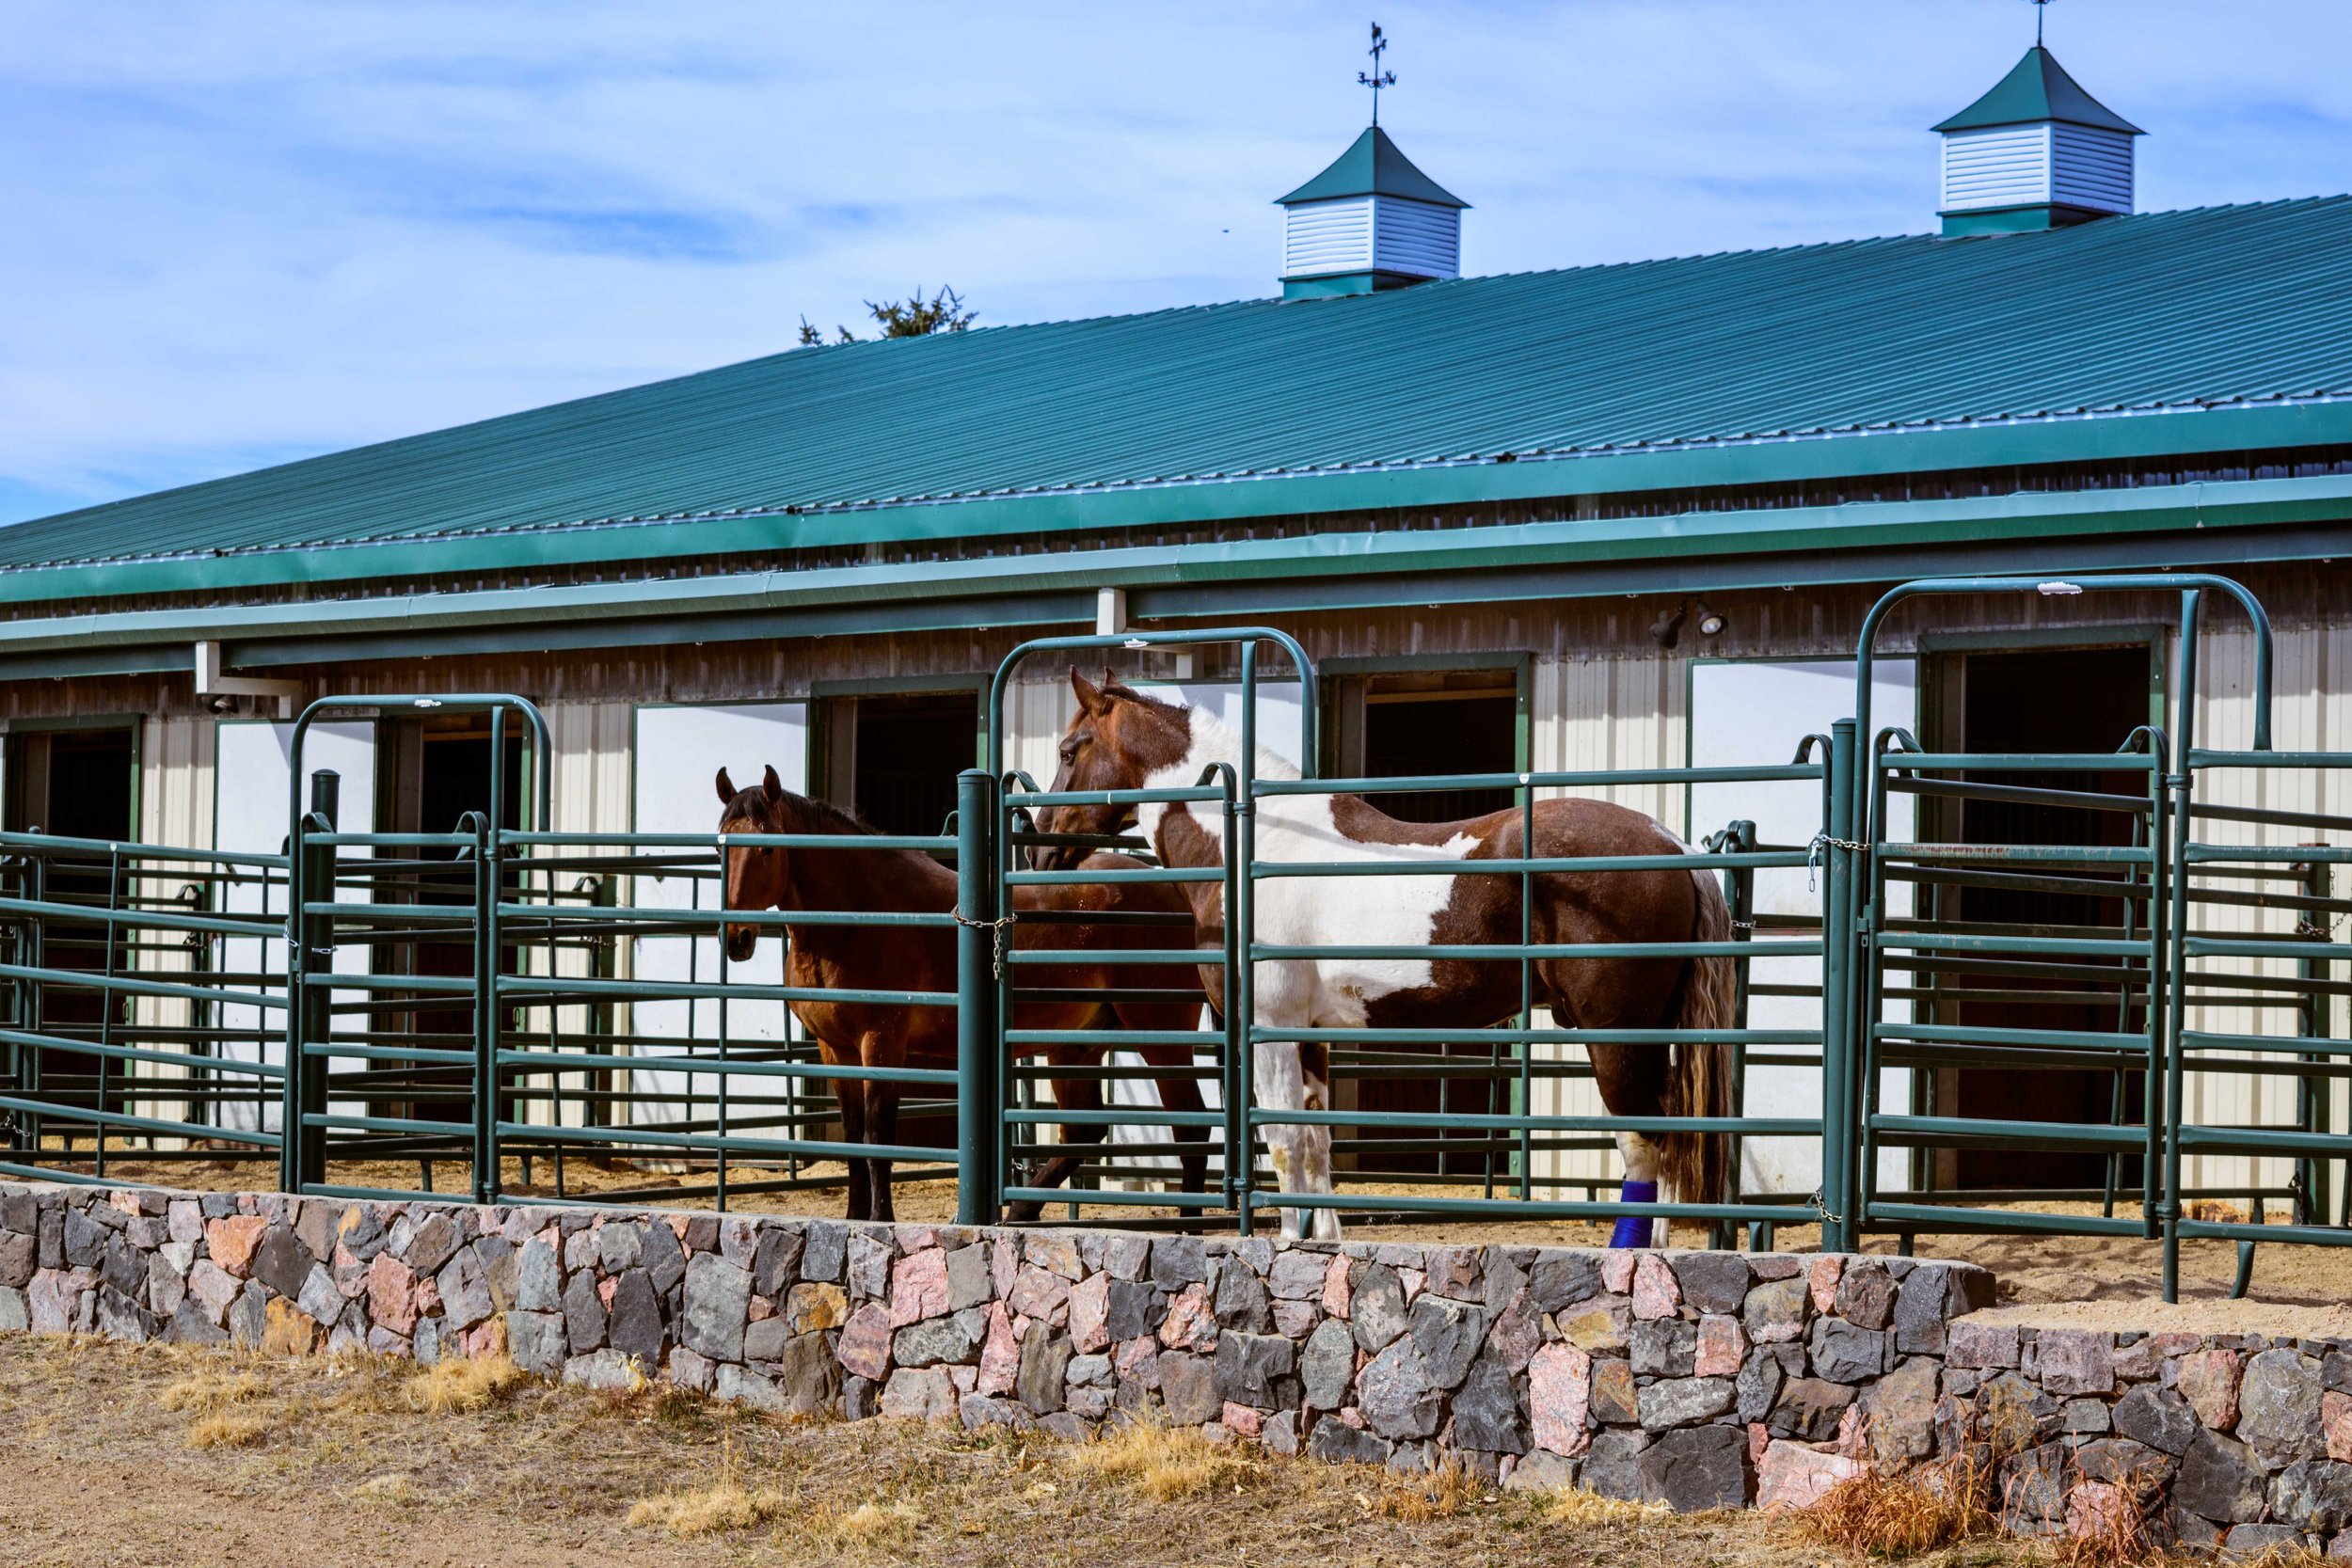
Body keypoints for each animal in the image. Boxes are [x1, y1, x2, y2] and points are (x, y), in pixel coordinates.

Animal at [710, 770, 1214, 1222]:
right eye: (720, 848)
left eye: (766, 848)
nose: (736, 939)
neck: (859, 915)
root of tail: (1177, 894)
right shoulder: (835, 1049)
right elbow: (853, 1139)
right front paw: (855, 1217)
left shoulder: (881, 1045)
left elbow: (877, 1137)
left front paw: (880, 1220)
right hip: (1076, 1046)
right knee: (1080, 1134)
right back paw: (1019, 1214)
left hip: (1161, 1038)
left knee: (1192, 1129)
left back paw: (1188, 1226)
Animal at [1040, 676, 1740, 1250]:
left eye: (1070, 750)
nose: (1043, 846)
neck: (1256, 843)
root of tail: (1671, 843)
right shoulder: (1310, 1032)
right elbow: (1316, 1138)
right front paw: (1320, 1237)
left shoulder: (1269, 1027)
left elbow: (1284, 1138)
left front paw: (1289, 1241)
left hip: (1616, 1035)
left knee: (1644, 1143)